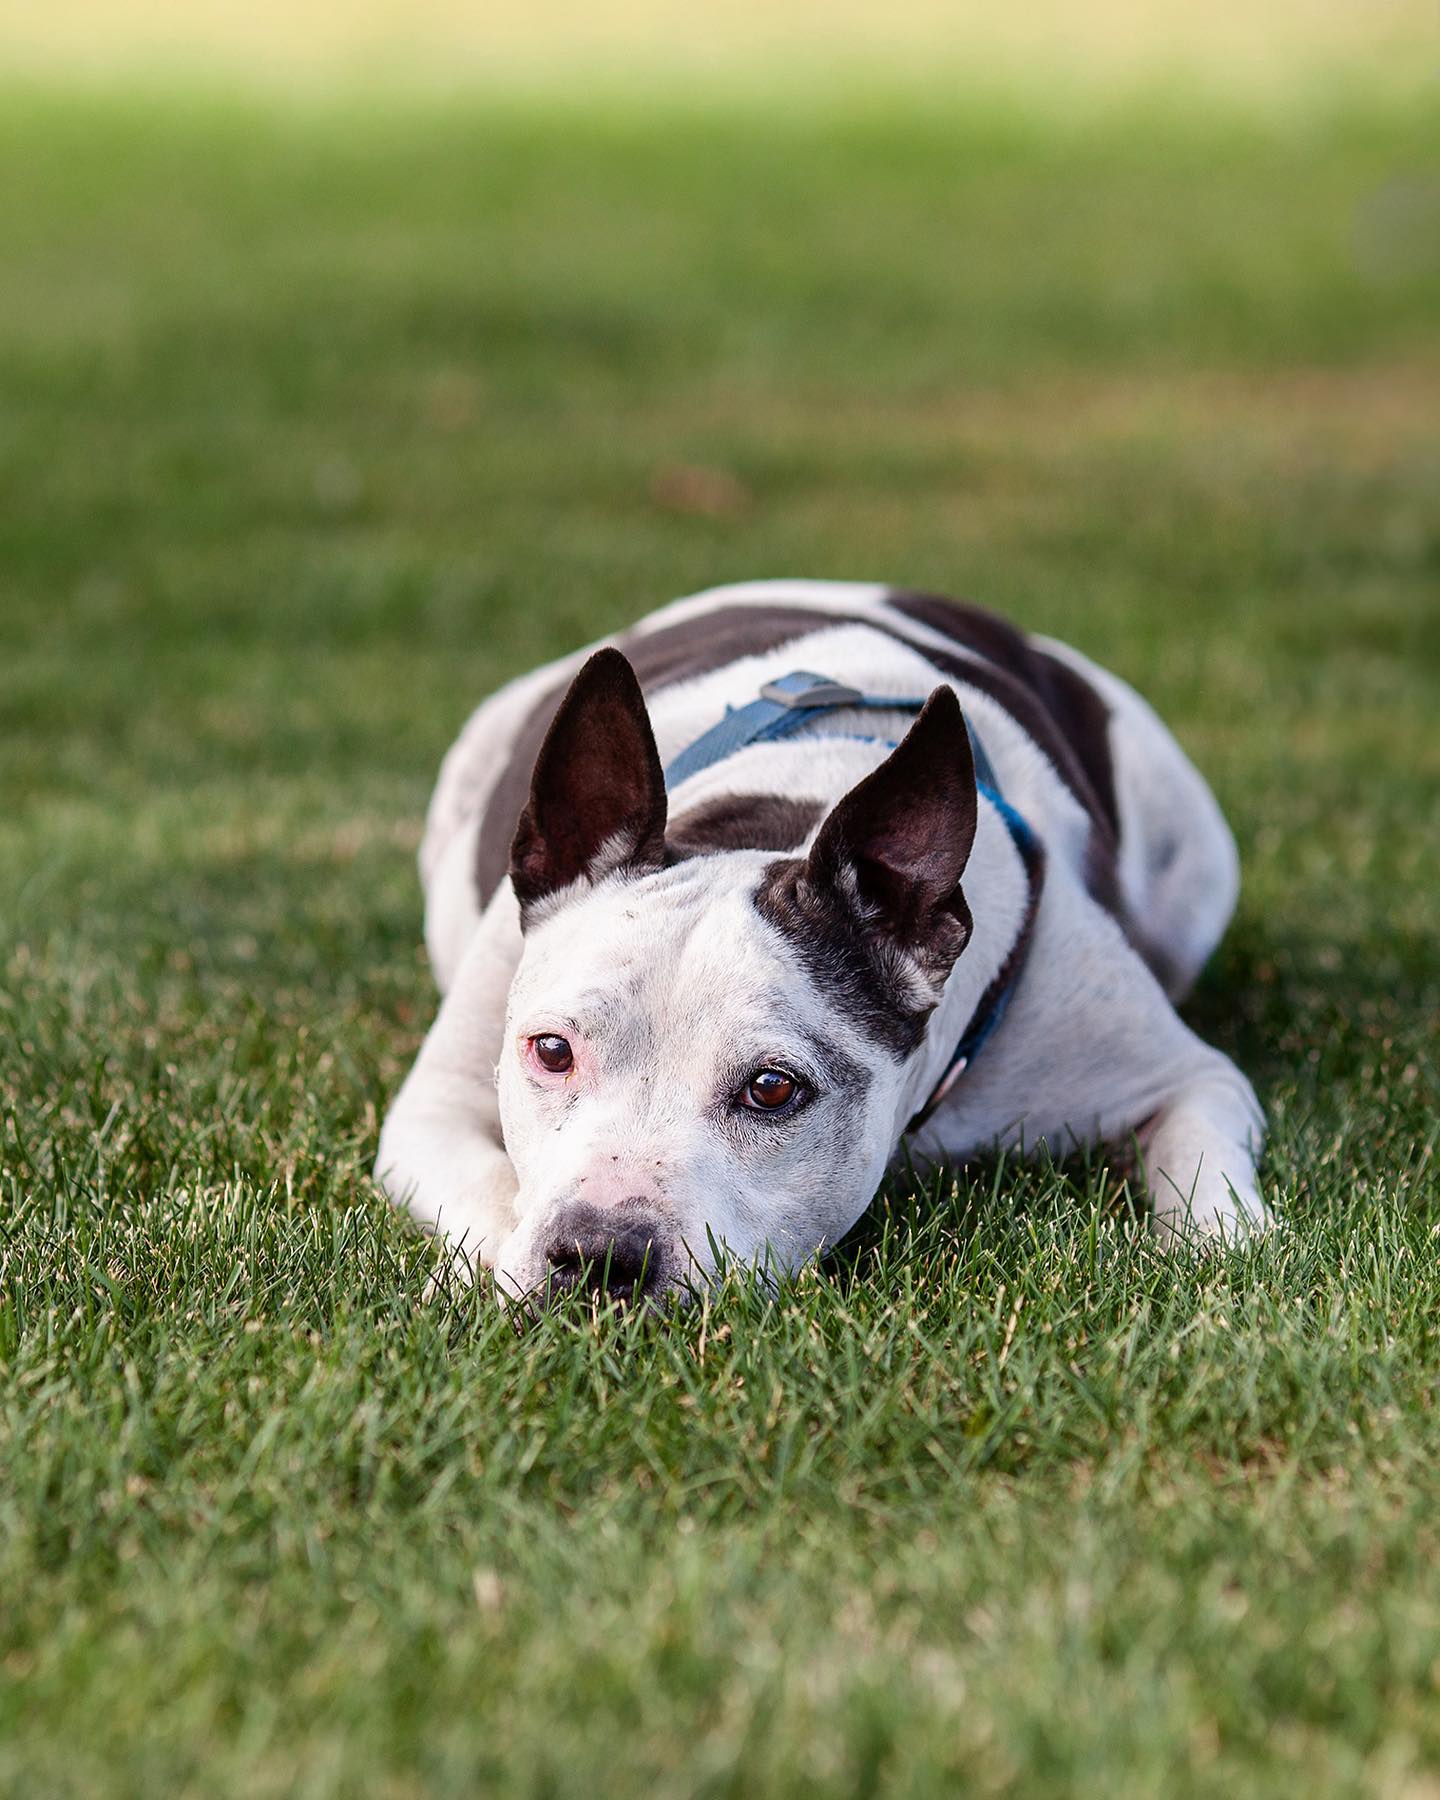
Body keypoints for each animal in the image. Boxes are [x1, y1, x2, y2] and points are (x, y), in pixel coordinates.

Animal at [376, 583, 1267, 1303]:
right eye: (552, 1052)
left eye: (773, 1089)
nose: (598, 1255)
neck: (786, 799)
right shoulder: (434, 1108)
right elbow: (491, 1188)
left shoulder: (1190, 1079)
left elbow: (1206, 1173)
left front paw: (1224, 1255)